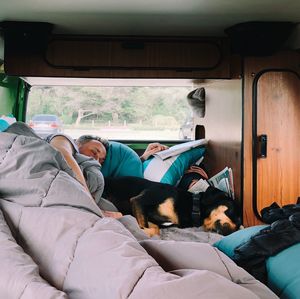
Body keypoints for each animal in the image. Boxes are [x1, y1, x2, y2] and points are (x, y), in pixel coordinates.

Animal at [103, 177, 241, 238]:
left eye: (239, 226)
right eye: (232, 211)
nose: (232, 232)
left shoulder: (156, 222)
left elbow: (155, 229)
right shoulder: (139, 201)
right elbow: (143, 226)